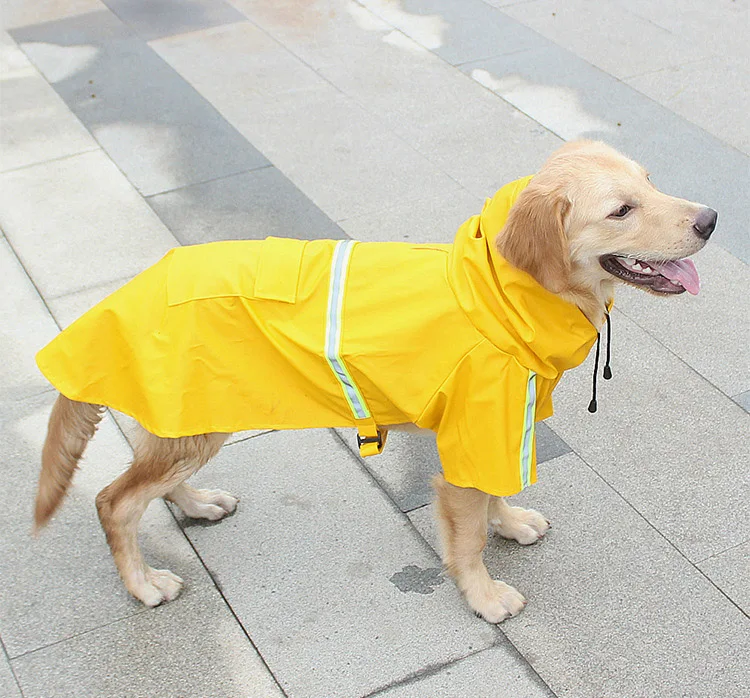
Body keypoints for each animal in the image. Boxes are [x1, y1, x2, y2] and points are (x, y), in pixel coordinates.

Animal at [33, 140, 716, 620]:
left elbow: (494, 495)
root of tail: (123, 296)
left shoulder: (495, 431)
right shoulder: (474, 432)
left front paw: (510, 522)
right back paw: (144, 584)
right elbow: (467, 536)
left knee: (152, 481)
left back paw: (197, 504)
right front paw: (484, 596)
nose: (711, 218)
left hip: (195, 415)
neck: (497, 296)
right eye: (621, 209)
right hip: (190, 425)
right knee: (115, 501)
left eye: (651, 182)